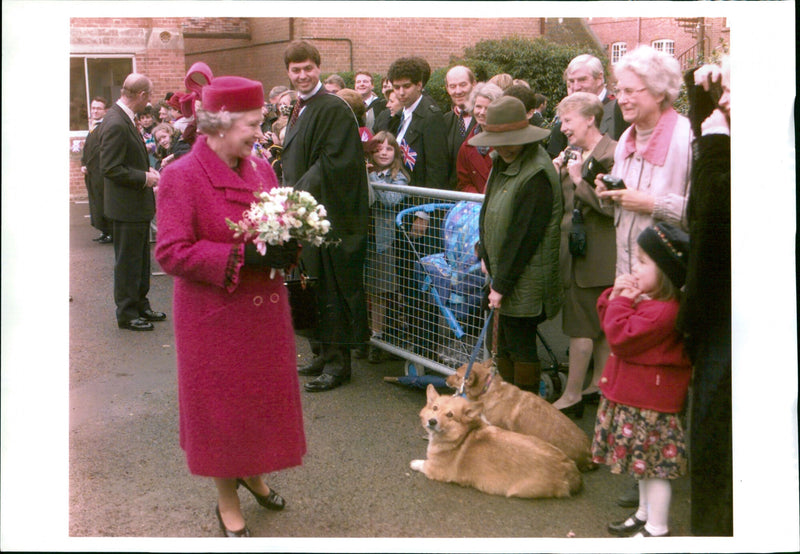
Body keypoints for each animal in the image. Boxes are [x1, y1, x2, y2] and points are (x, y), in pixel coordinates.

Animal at [412, 384, 580, 496]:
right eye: (434, 408)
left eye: (450, 415)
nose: (432, 421)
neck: (461, 436)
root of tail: (571, 471)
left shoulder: (436, 470)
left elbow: (421, 464)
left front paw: (414, 463)